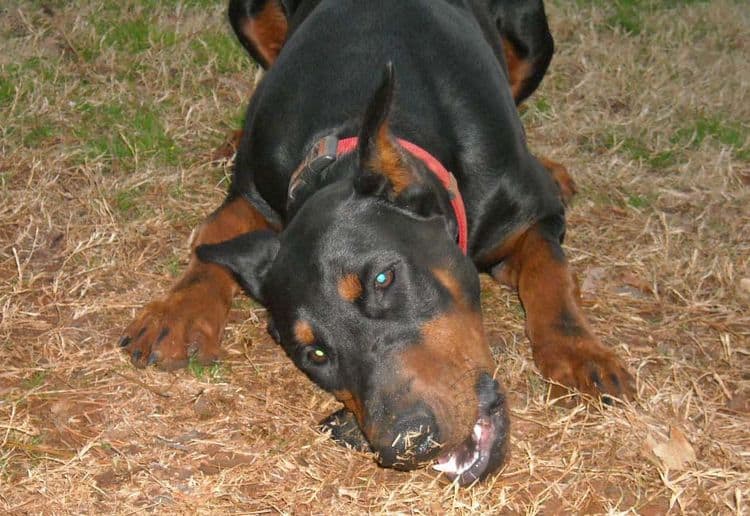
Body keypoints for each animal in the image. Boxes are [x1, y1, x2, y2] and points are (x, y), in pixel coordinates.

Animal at [120, 0, 636, 486]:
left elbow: (550, 270)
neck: (342, 133)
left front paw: (579, 354)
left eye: (384, 278)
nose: (407, 442)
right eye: (315, 355)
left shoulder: (537, 212)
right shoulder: (254, 189)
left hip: (532, 38)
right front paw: (178, 314)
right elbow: (216, 231)